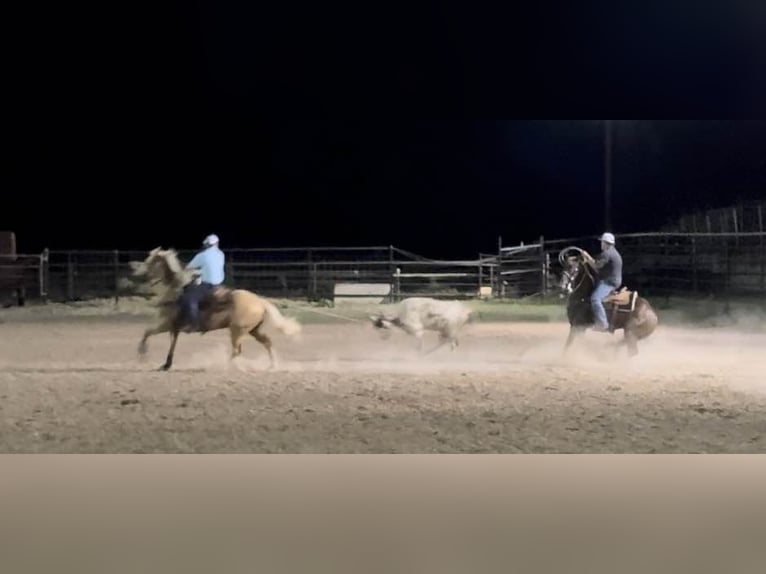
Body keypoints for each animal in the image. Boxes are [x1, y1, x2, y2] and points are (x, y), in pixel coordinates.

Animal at [130, 250, 302, 372]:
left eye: (151, 260)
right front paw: (166, 365)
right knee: (267, 342)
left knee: (237, 350)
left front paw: (142, 355)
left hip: (237, 331)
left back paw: (225, 366)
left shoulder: (167, 324)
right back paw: (272, 366)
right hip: (253, 330)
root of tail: (260, 301)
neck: (178, 289)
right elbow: (171, 345)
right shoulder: (175, 327)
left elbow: (147, 332)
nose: (137, 274)